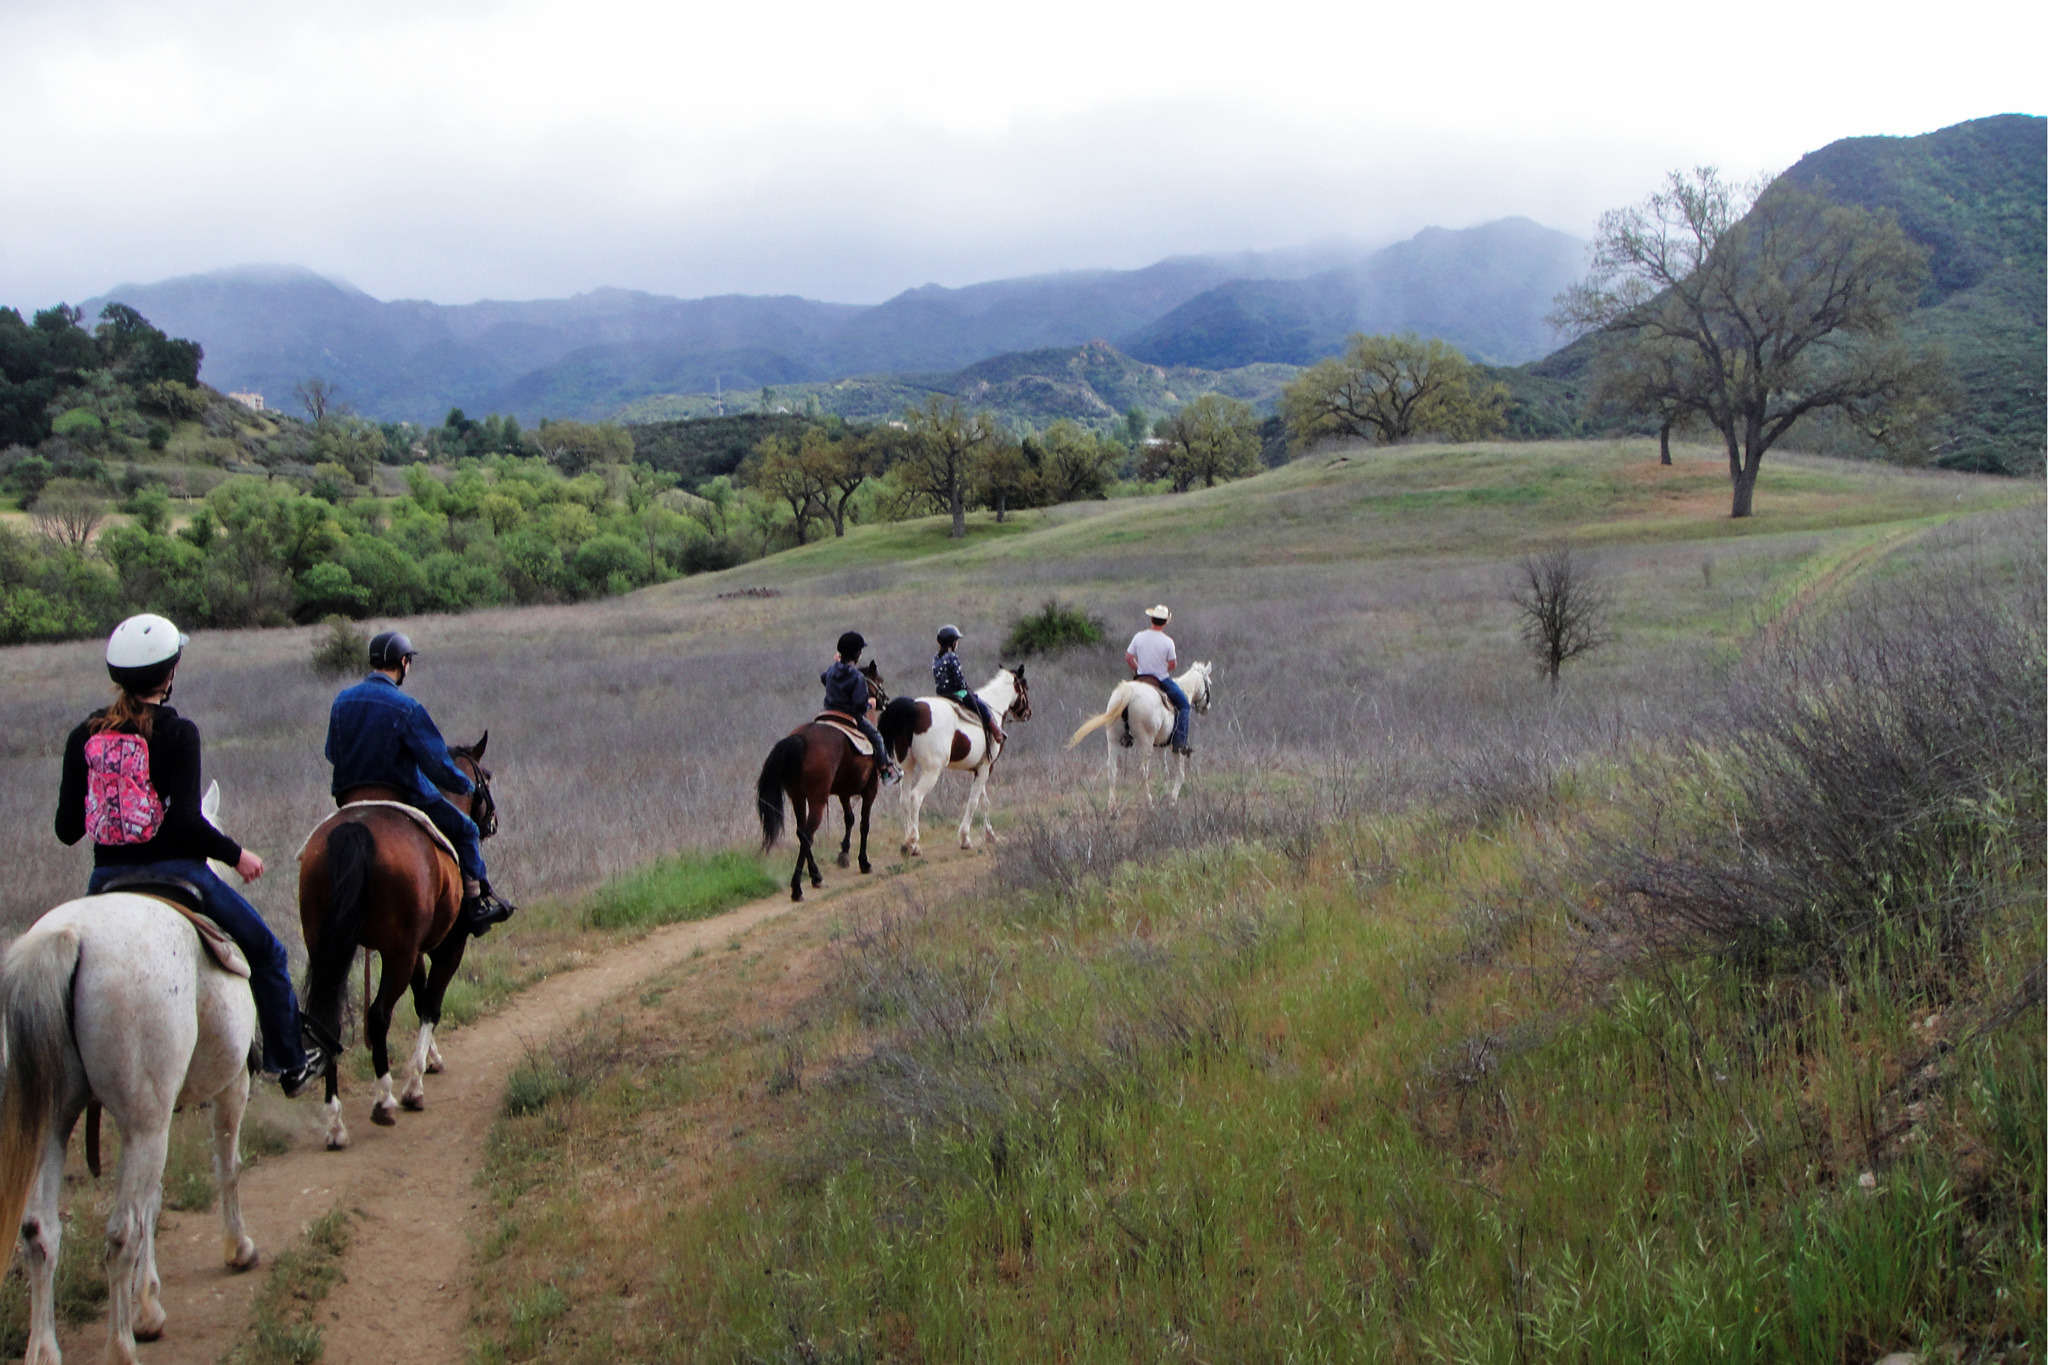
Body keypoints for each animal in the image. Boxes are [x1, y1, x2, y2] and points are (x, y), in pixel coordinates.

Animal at [294, 732, 497, 1146]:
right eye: (484, 776)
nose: (492, 822)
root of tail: (354, 830)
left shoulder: (413, 950)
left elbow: (420, 1001)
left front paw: (430, 1060)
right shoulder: (445, 947)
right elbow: (431, 1004)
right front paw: (414, 1085)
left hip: (328, 947)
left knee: (329, 1024)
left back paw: (335, 1123)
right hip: (397, 954)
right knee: (378, 1015)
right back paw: (384, 1099)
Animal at [753, 658, 880, 896]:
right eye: (879, 681)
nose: (884, 700)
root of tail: (799, 740)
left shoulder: (843, 791)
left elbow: (849, 818)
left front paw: (844, 854)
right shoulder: (871, 787)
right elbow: (864, 823)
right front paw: (863, 862)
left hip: (797, 796)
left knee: (801, 831)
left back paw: (815, 876)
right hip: (817, 798)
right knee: (808, 833)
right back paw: (797, 886)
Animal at [884, 667, 1040, 859]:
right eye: (1025, 688)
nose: (1028, 713)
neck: (992, 708)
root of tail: (913, 708)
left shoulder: (978, 769)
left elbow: (983, 800)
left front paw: (990, 835)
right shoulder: (987, 767)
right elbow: (973, 801)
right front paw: (965, 838)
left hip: (907, 767)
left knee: (904, 799)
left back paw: (907, 844)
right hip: (931, 771)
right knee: (915, 797)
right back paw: (913, 842)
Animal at [1064, 658, 1204, 802]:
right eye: (1208, 683)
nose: (1205, 707)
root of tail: (1128, 692)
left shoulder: (1161, 745)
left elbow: (1165, 771)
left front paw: (1165, 795)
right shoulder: (1175, 744)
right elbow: (1180, 773)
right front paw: (1172, 798)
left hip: (1113, 738)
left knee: (1112, 770)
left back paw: (1112, 806)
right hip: (1146, 741)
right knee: (1143, 771)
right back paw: (1149, 802)